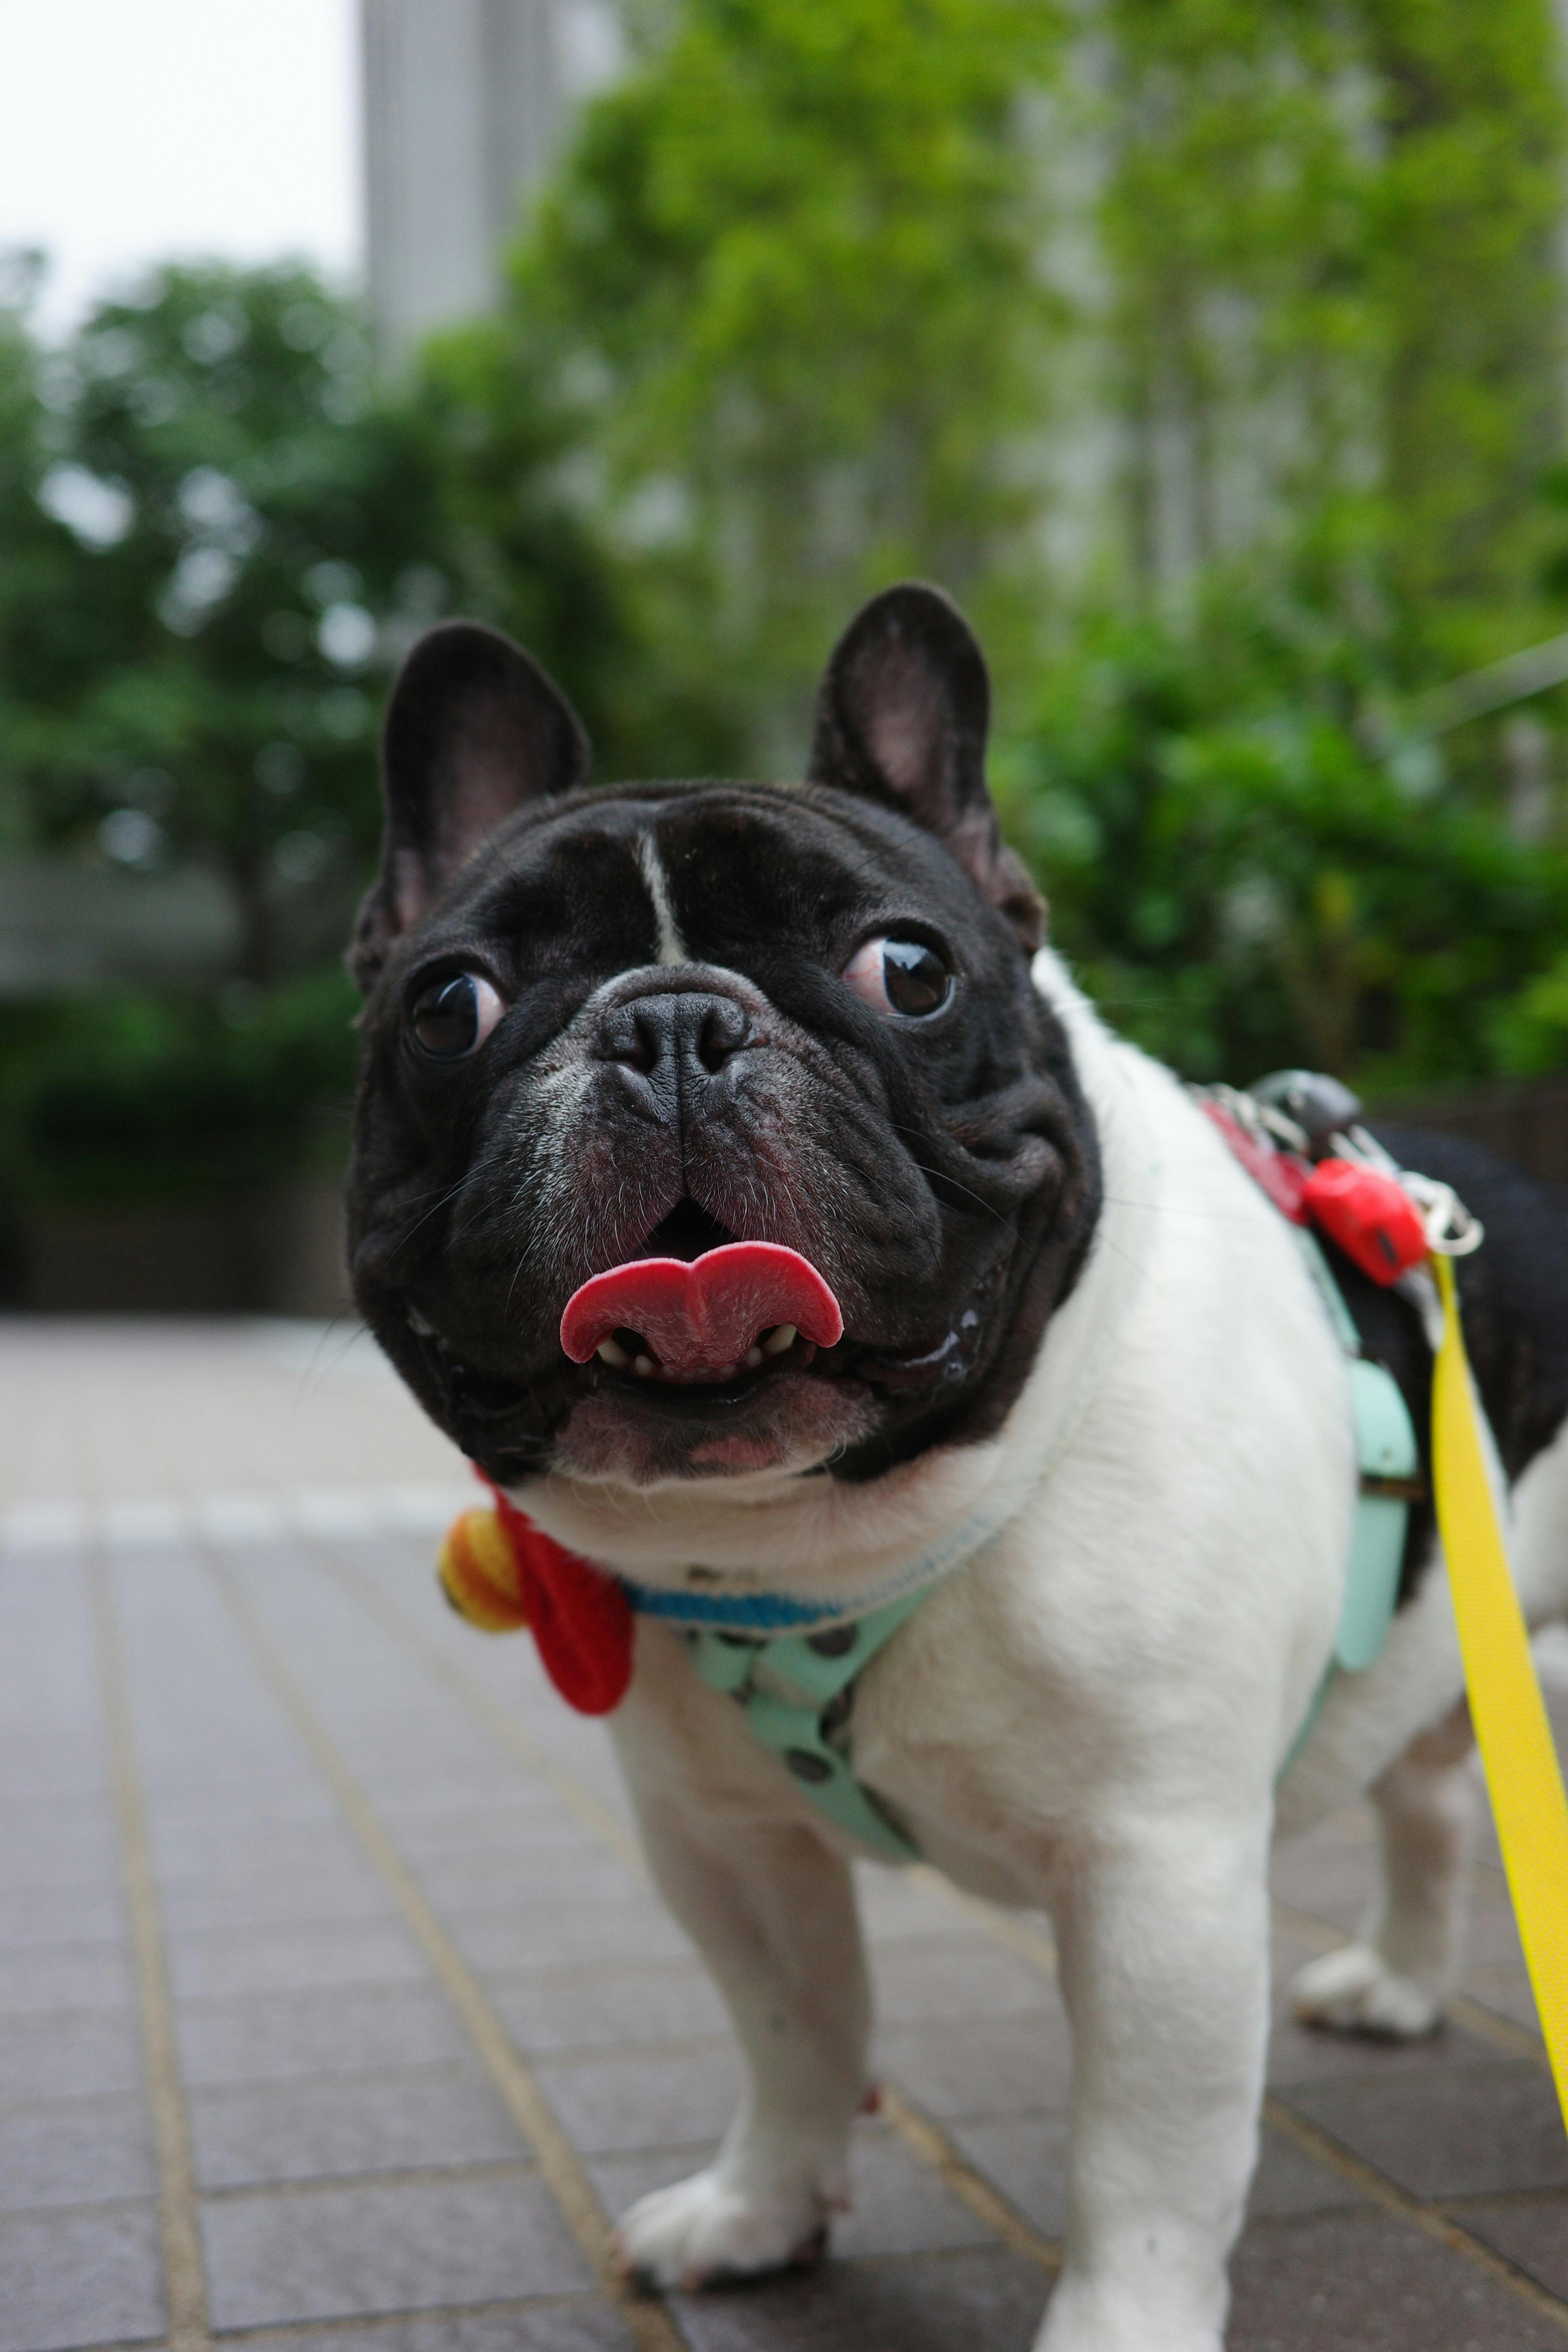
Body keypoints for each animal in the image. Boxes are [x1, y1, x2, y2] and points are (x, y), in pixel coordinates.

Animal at [345, 588, 1568, 2352]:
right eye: (452, 1007)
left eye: (908, 971)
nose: (669, 1019)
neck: (818, 1551)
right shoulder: (726, 1842)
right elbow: (793, 2031)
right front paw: (761, 2208)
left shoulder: (1159, 1878)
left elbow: (1146, 2156)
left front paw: (1118, 2331)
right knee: (1428, 1794)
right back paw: (1402, 1978)